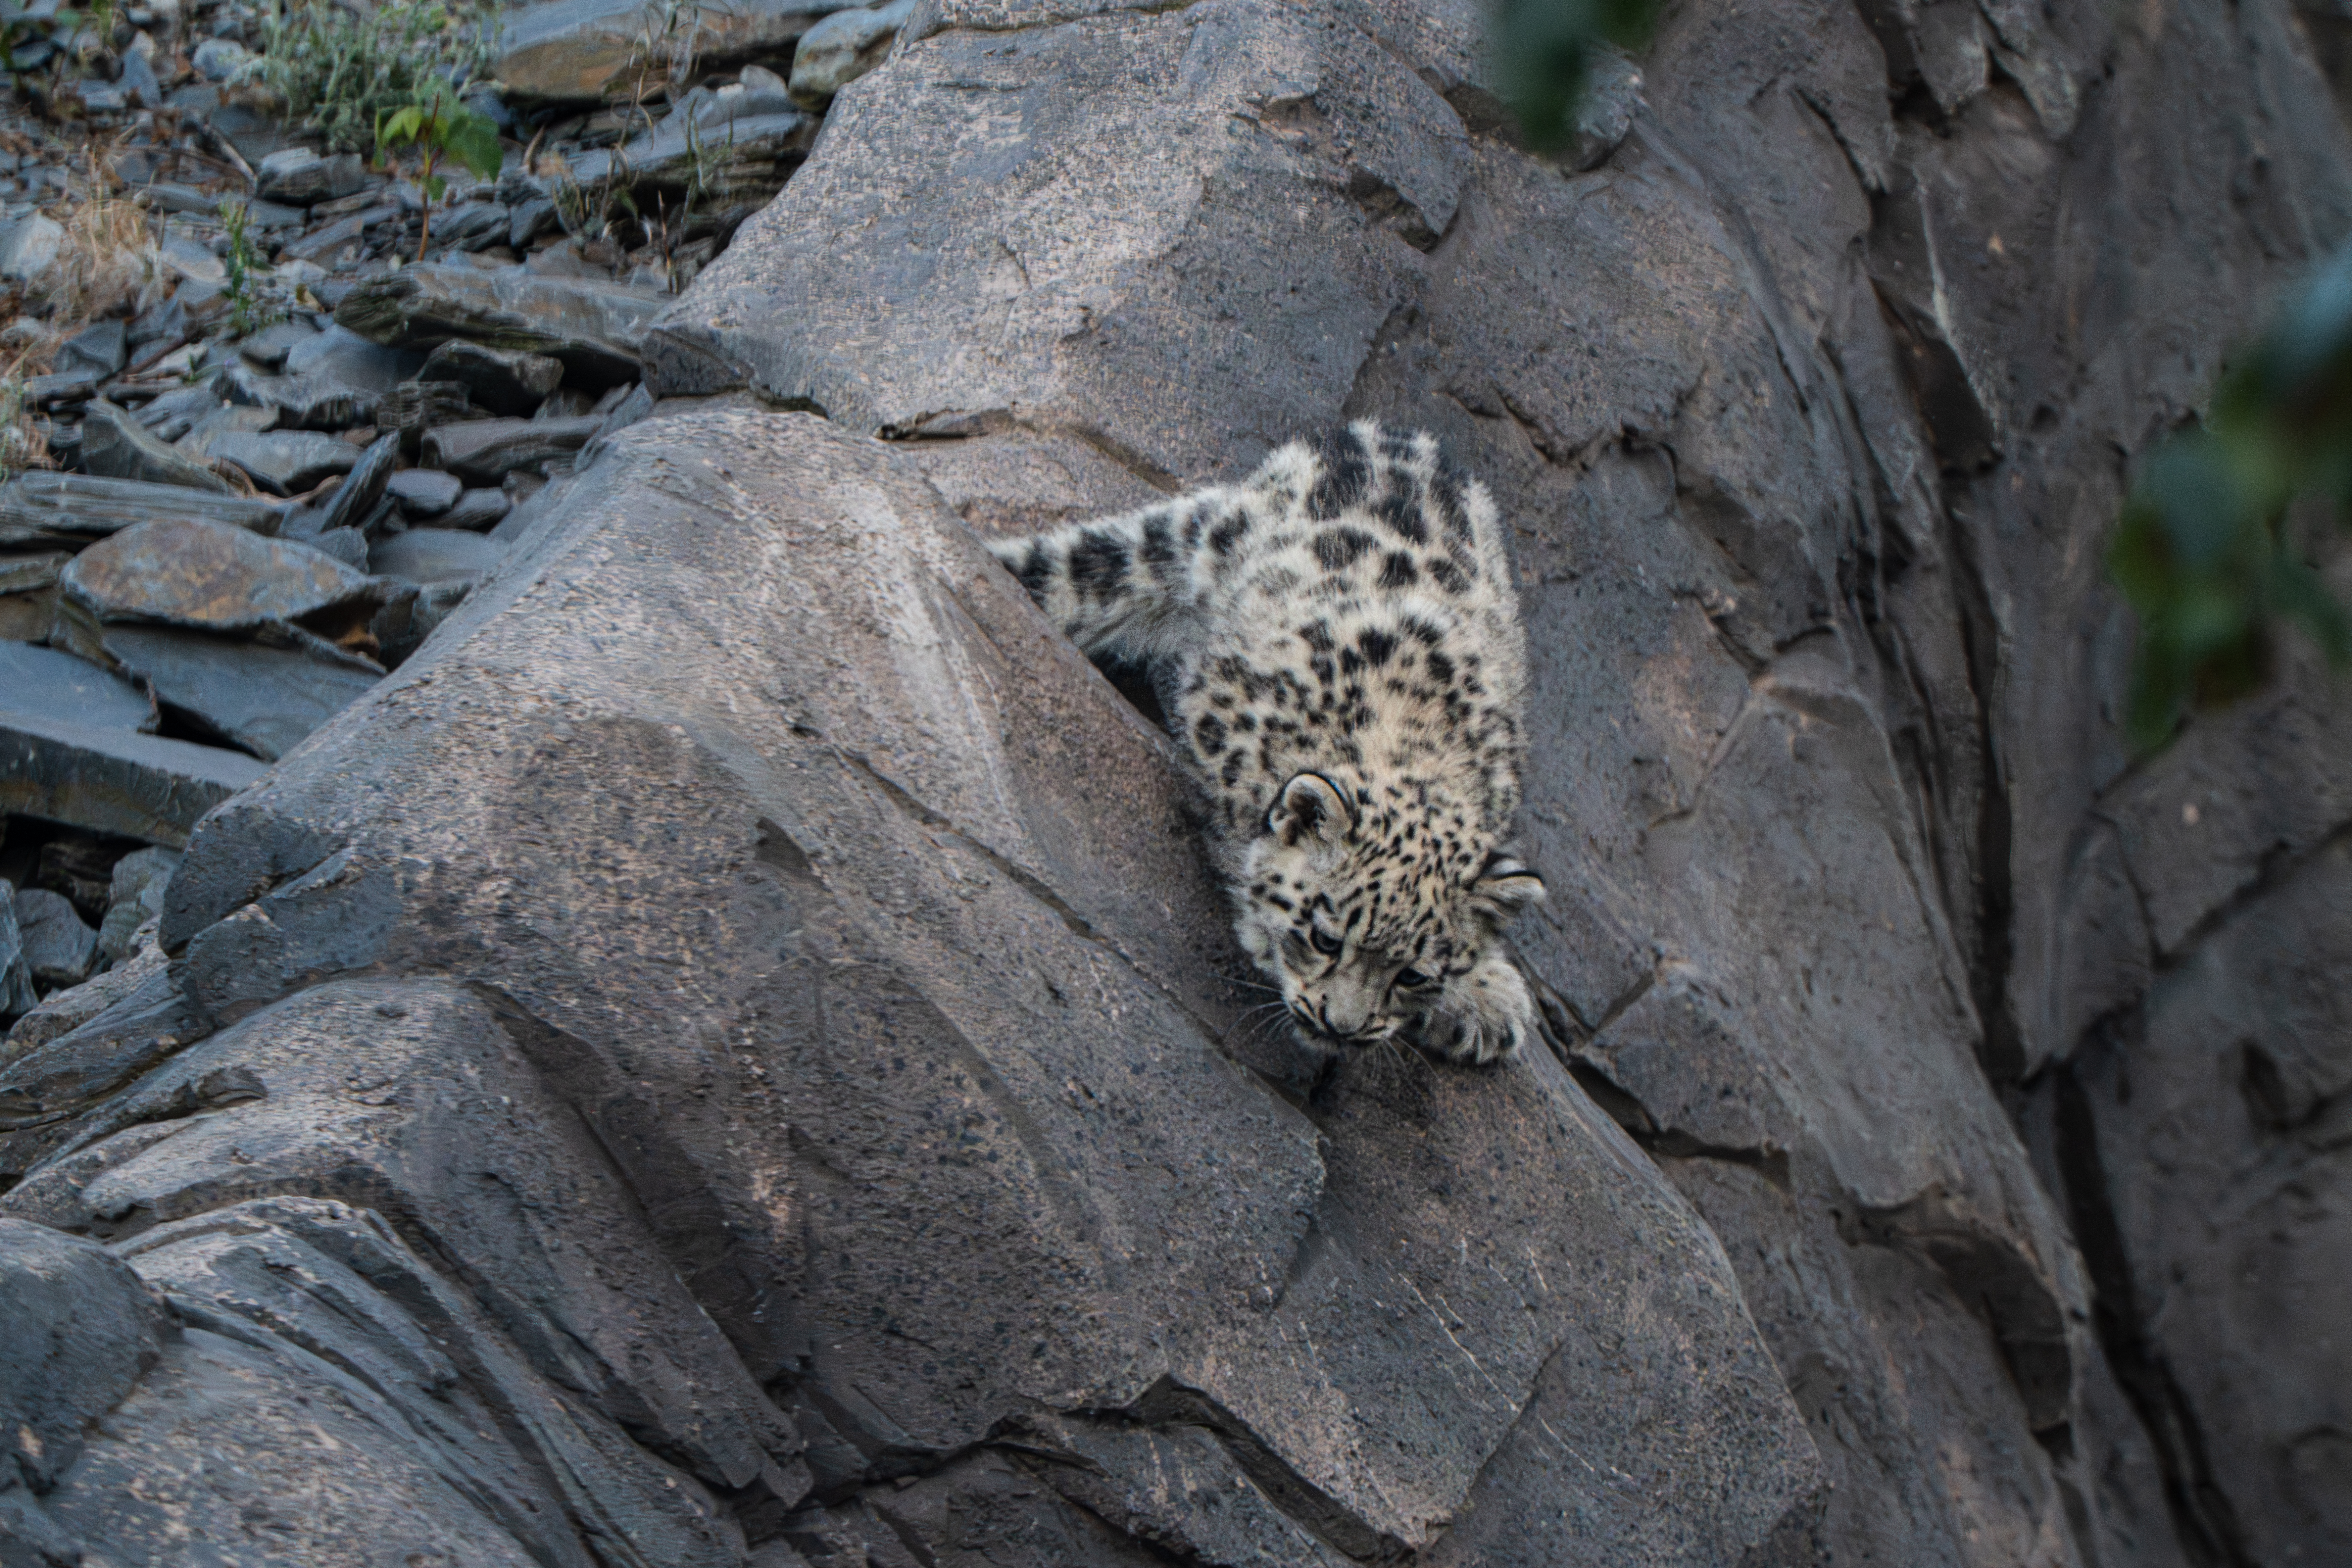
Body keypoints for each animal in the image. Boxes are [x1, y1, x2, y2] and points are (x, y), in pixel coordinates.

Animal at [984, 420, 1547, 1065]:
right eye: (1325, 937)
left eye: (1412, 974)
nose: (1341, 1026)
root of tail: (1398, 436)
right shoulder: (1217, 719)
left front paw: (1486, 993)